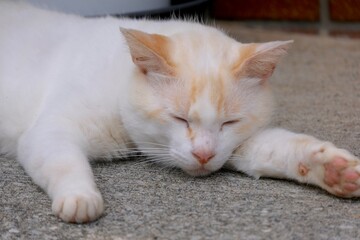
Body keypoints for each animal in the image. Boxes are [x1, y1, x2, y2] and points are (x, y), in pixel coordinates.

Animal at [0, 1, 360, 223]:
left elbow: (280, 148)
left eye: (230, 123)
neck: (119, 79)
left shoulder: (238, 145)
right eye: (179, 118)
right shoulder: (51, 130)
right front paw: (80, 196)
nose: (203, 155)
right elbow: (64, 163)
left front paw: (333, 169)